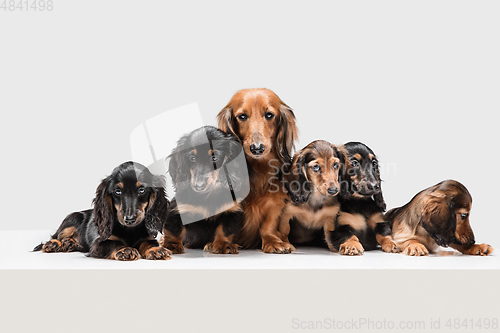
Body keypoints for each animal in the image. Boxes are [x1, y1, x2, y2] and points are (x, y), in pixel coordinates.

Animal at [33, 161, 171, 260]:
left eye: (142, 190)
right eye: (117, 191)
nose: (129, 219)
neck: (130, 230)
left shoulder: (147, 237)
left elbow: (149, 243)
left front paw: (155, 250)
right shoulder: (99, 243)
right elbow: (113, 244)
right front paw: (125, 249)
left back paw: (69, 243)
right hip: (72, 218)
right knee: (56, 235)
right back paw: (54, 244)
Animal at [218, 87, 296, 252]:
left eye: (269, 115)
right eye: (242, 116)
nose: (257, 148)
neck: (259, 168)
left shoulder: (275, 201)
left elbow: (268, 225)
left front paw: (273, 241)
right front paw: (222, 243)